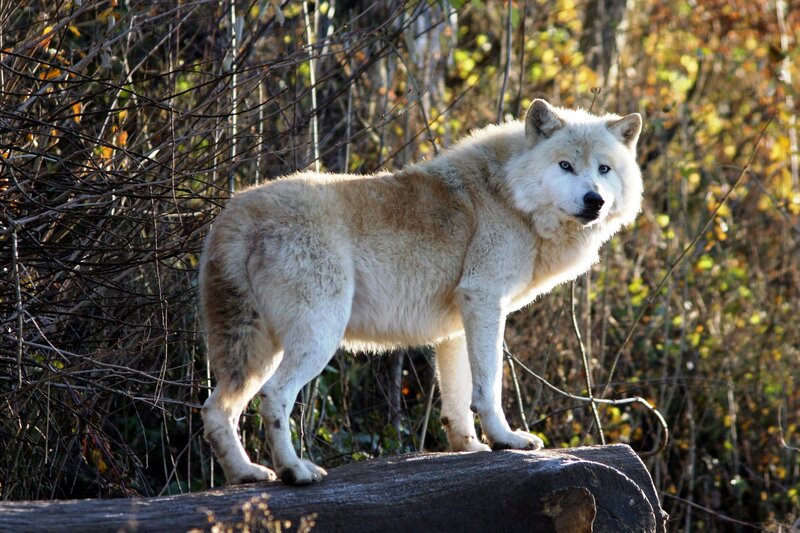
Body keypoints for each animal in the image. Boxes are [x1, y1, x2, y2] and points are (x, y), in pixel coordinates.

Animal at [199, 99, 643, 485]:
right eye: (565, 165)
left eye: (604, 169)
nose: (594, 200)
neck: (508, 195)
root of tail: (236, 212)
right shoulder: (485, 300)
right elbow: (488, 386)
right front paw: (507, 440)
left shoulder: (458, 326)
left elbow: (459, 399)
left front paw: (470, 447)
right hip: (316, 339)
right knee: (274, 397)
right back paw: (295, 471)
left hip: (254, 354)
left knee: (215, 410)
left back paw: (246, 473)